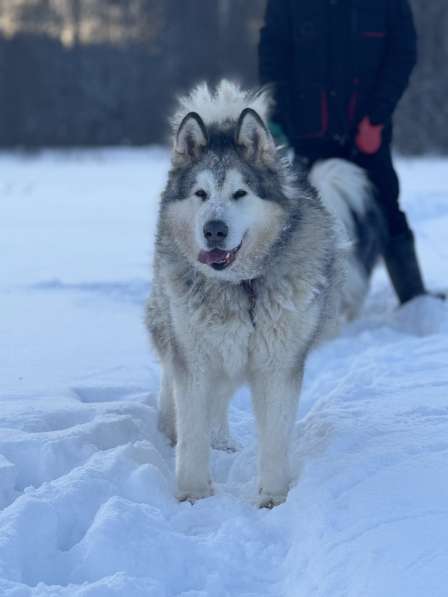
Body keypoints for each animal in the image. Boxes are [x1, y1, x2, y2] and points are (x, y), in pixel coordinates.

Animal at [148, 80, 382, 508]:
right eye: (200, 193)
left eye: (240, 193)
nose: (214, 230)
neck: (241, 286)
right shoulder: (195, 357)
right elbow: (191, 433)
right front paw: (192, 493)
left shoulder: (279, 363)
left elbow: (274, 438)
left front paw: (273, 496)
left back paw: (222, 442)